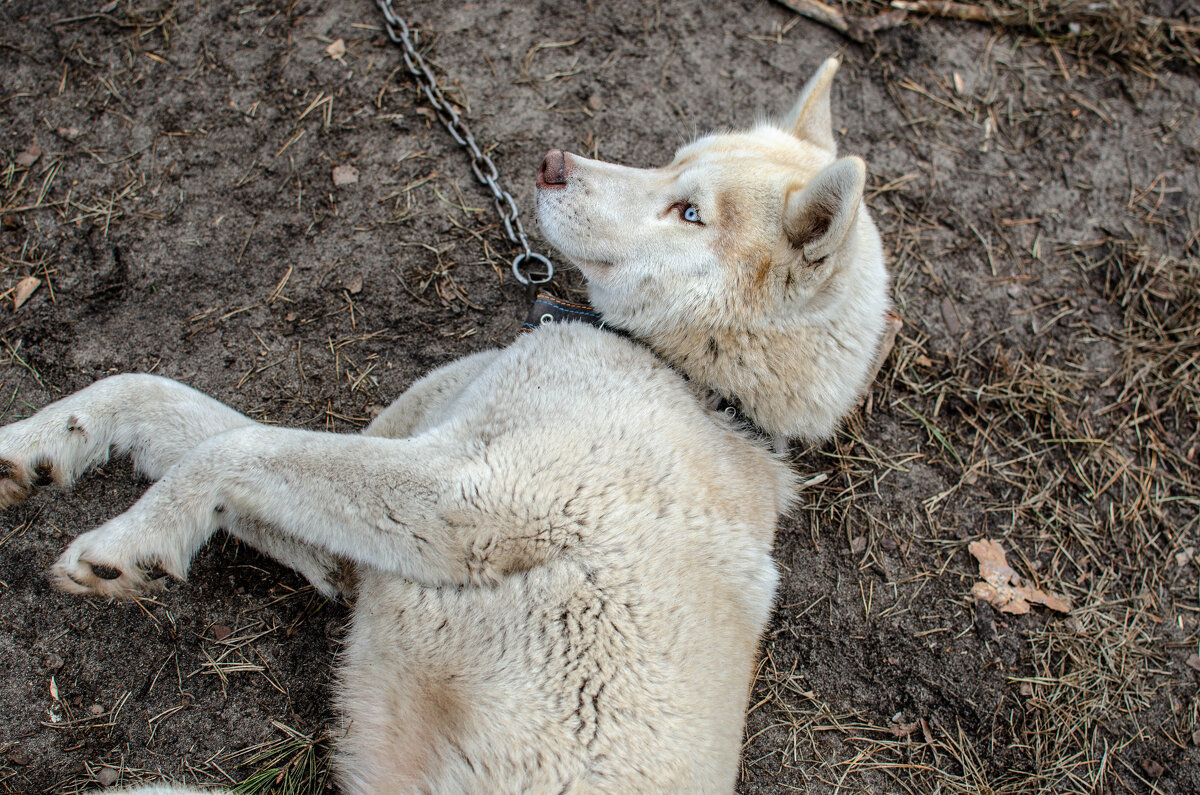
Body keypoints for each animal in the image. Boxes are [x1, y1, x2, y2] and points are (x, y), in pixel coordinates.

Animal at [2, 59, 892, 792]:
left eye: (690, 213)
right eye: (675, 160)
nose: (551, 162)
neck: (697, 385)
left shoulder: (473, 504)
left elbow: (236, 445)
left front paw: (127, 544)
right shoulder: (364, 526)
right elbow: (152, 394)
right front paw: (34, 442)